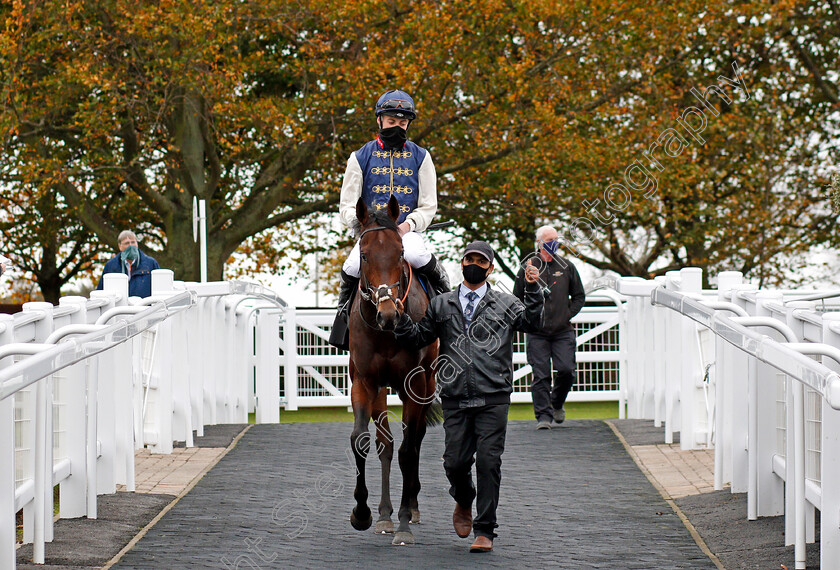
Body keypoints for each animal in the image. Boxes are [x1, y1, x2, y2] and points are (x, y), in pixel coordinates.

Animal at [346, 193, 440, 544]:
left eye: (399, 253)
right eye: (363, 255)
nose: (388, 314)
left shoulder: (416, 385)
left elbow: (408, 450)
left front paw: (403, 522)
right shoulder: (365, 382)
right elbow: (362, 440)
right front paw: (362, 514)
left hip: (427, 384)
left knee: (415, 439)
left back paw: (409, 508)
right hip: (383, 390)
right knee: (385, 444)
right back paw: (384, 515)